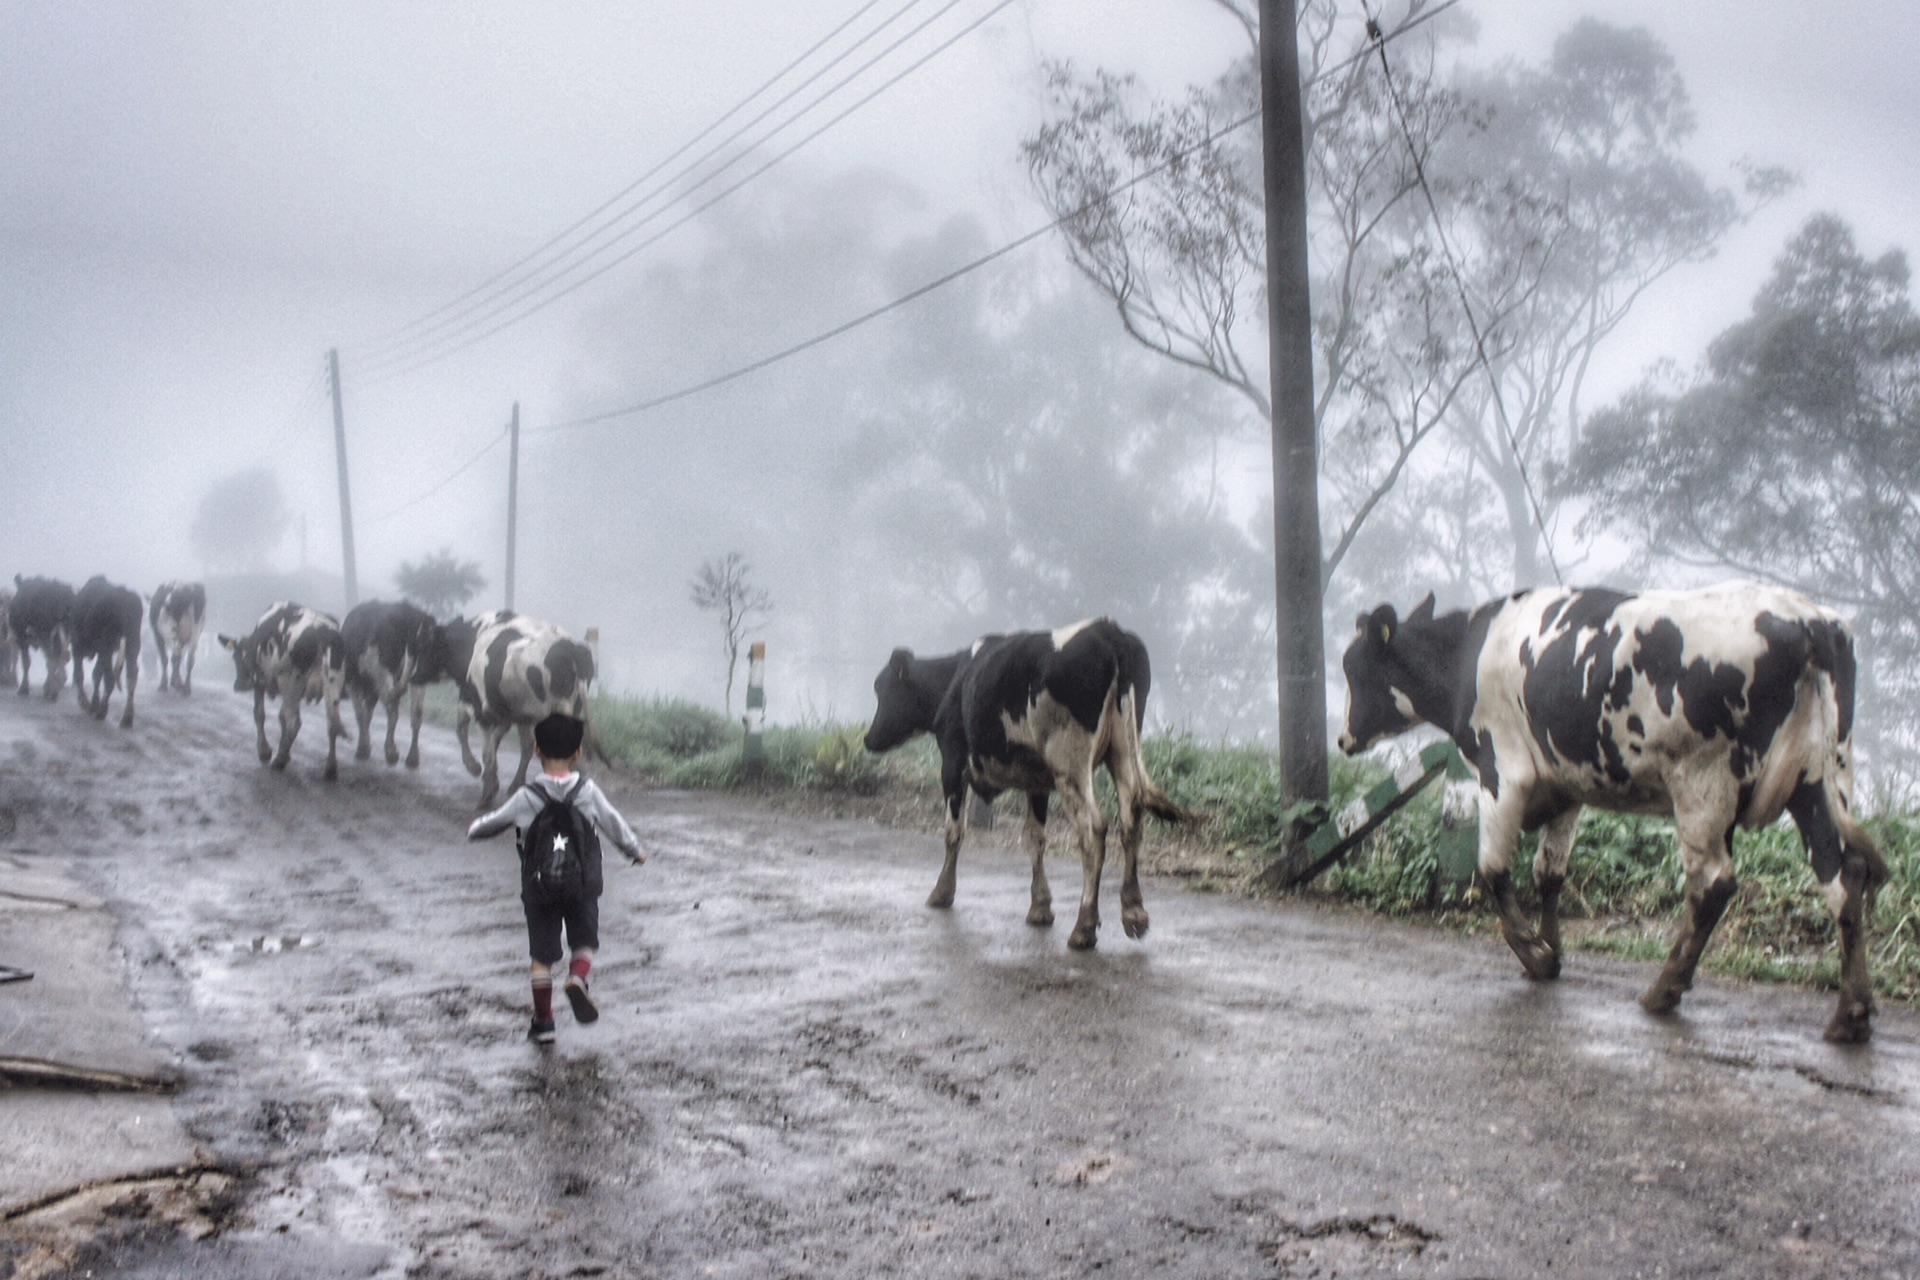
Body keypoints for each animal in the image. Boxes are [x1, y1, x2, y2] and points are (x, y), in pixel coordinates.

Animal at [71, 575, 143, 725]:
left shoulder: (77, 645)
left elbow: (79, 674)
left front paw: (86, 703)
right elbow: (96, 673)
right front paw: (93, 703)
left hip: (107, 644)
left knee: (110, 678)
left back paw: (102, 711)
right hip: (133, 642)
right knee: (131, 676)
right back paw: (127, 717)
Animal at [219, 602, 353, 782]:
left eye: (238, 658)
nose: (239, 685)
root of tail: (321, 629)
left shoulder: (260, 682)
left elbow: (260, 714)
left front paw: (265, 752)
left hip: (291, 681)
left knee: (292, 720)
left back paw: (279, 761)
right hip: (332, 681)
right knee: (332, 724)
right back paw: (330, 769)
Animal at [341, 602, 441, 771]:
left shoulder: (352, 679)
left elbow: (360, 713)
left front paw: (363, 749)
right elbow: (367, 714)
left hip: (382, 670)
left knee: (392, 707)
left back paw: (391, 752)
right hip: (417, 675)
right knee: (417, 712)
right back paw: (412, 758)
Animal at [871, 621, 1182, 951]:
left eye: (882, 688)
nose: (868, 738)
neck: (955, 677)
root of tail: (1107, 629)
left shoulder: (952, 763)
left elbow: (953, 831)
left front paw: (942, 892)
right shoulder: (1038, 781)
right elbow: (1035, 838)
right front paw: (1040, 907)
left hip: (1069, 762)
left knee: (1093, 829)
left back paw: (1084, 926)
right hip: (1121, 751)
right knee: (1131, 820)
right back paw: (1134, 914)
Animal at [1336, 587, 1889, 1043]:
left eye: (1357, 670)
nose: (1342, 740)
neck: (1467, 657)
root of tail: (1808, 619)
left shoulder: (1503, 771)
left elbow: (1494, 869)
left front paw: (1534, 954)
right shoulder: (1565, 785)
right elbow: (1549, 873)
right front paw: (1552, 949)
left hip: (1702, 781)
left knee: (1712, 884)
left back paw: (1664, 990)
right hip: (1817, 782)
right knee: (1843, 876)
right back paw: (1852, 1013)